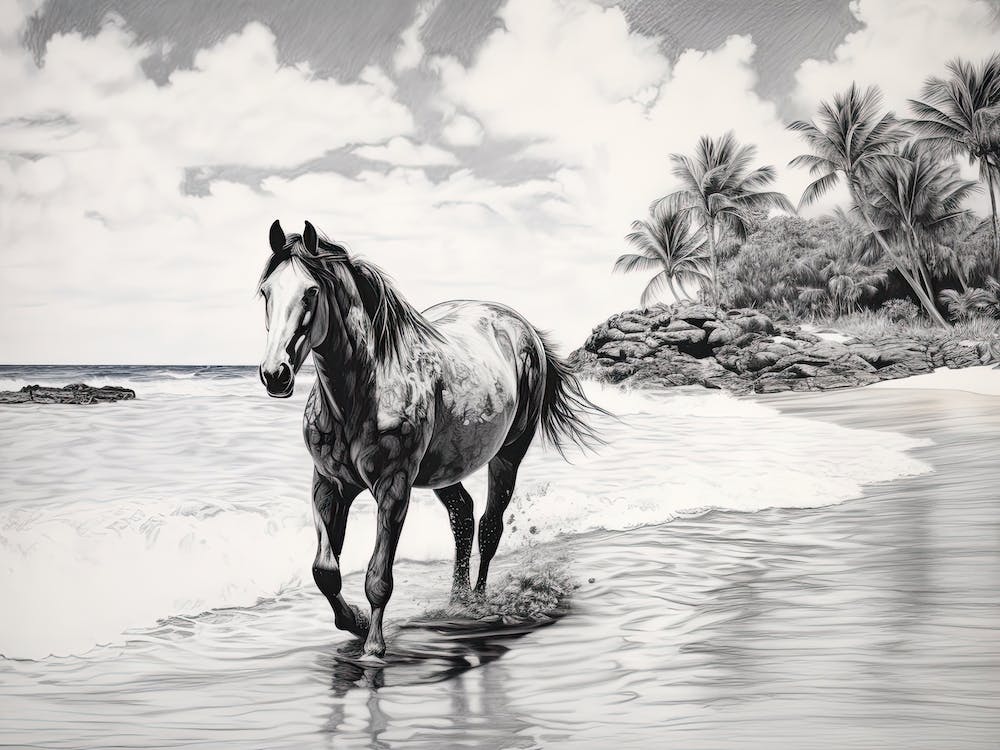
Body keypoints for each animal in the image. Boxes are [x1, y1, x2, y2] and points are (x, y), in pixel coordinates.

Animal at [257, 219, 605, 659]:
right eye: (266, 292)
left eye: (311, 292)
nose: (275, 374)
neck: (360, 392)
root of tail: (520, 327)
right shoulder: (328, 485)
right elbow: (325, 571)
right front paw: (354, 622)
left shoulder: (394, 488)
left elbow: (378, 577)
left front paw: (373, 647)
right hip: (444, 468)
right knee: (463, 518)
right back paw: (456, 602)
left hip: (508, 454)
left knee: (489, 527)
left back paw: (476, 606)